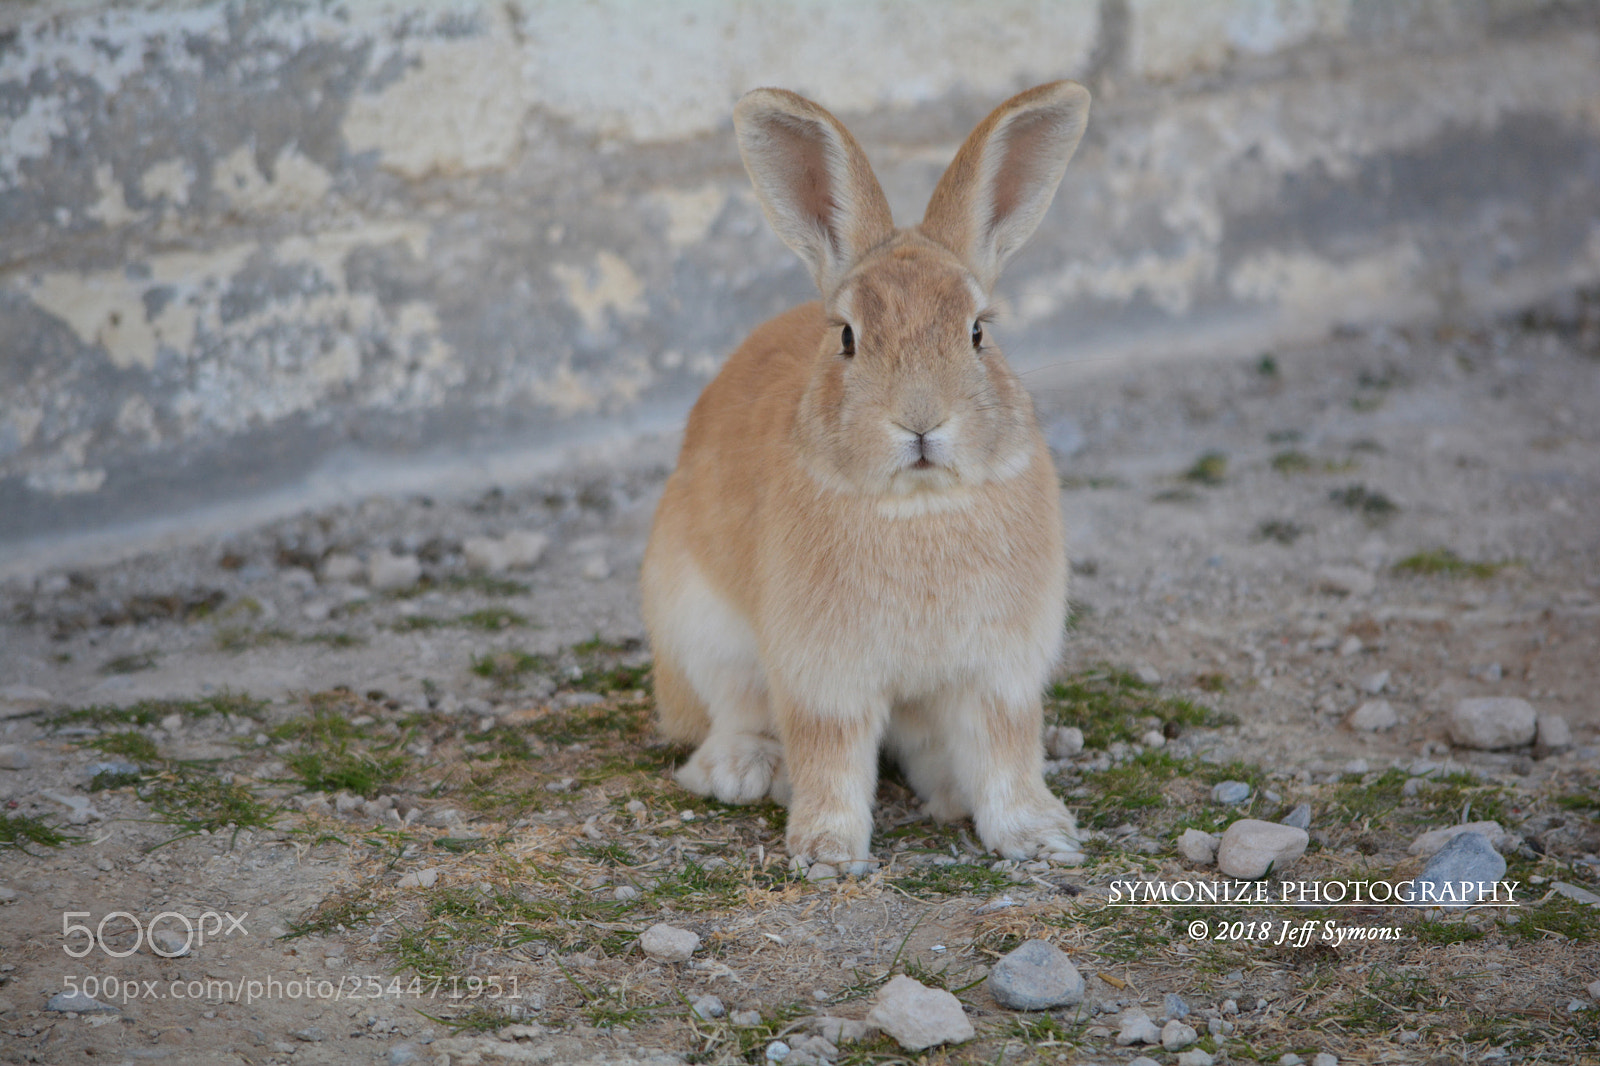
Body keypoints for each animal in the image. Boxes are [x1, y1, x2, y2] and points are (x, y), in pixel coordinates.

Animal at [640, 81, 1091, 870]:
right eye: (848, 337)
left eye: (979, 331)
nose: (920, 421)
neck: (918, 505)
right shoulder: (824, 675)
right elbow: (831, 753)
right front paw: (825, 849)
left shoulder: (998, 673)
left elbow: (1007, 751)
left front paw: (1040, 837)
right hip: (699, 630)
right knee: (728, 717)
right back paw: (746, 770)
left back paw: (949, 794)